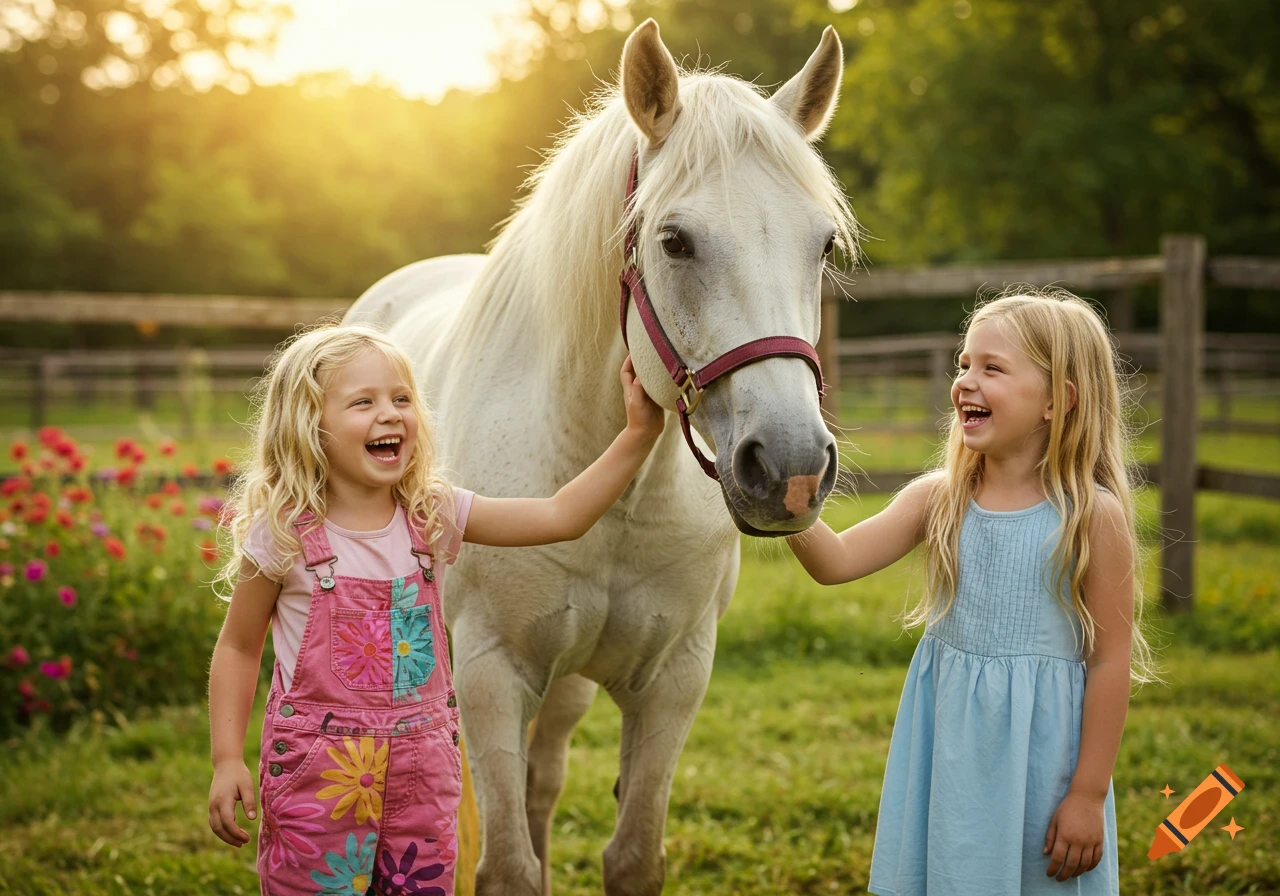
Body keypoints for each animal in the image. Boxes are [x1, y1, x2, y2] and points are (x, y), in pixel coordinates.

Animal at [344, 19, 858, 895]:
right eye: (674, 241)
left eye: (821, 245)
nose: (789, 468)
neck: (617, 494)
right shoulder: (491, 675)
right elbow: (506, 867)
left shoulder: (674, 679)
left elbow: (632, 854)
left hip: (571, 684)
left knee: (542, 781)